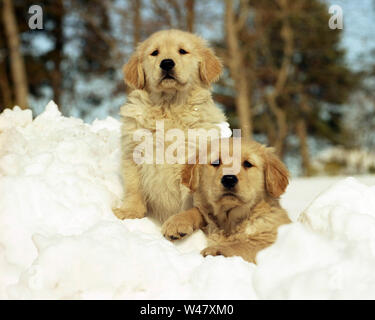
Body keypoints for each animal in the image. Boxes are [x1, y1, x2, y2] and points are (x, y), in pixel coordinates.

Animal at [114, 29, 226, 222]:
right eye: (154, 53)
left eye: (182, 51)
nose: (166, 63)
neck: (168, 106)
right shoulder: (133, 152)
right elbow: (134, 187)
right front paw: (130, 212)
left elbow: (190, 199)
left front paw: (180, 222)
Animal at [162, 139, 290, 264]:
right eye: (216, 162)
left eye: (247, 164)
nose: (229, 179)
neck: (230, 219)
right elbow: (198, 210)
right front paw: (177, 222)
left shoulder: (270, 240)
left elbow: (244, 245)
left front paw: (217, 249)